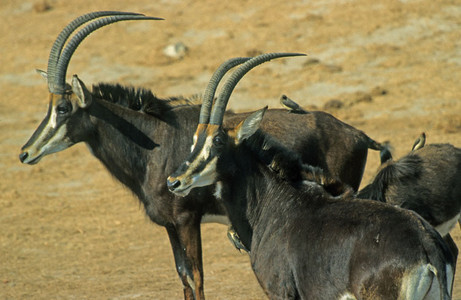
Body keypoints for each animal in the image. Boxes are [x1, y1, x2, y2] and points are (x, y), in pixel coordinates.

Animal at [18, 11, 382, 300]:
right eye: (48, 105)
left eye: (63, 108)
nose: (25, 153)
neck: (154, 143)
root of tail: (358, 134)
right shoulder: (169, 224)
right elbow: (183, 277)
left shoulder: (186, 220)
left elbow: (196, 277)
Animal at [168, 54, 452, 300]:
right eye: (195, 138)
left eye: (217, 141)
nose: (174, 181)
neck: (275, 201)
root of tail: (427, 245)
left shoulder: (280, 292)